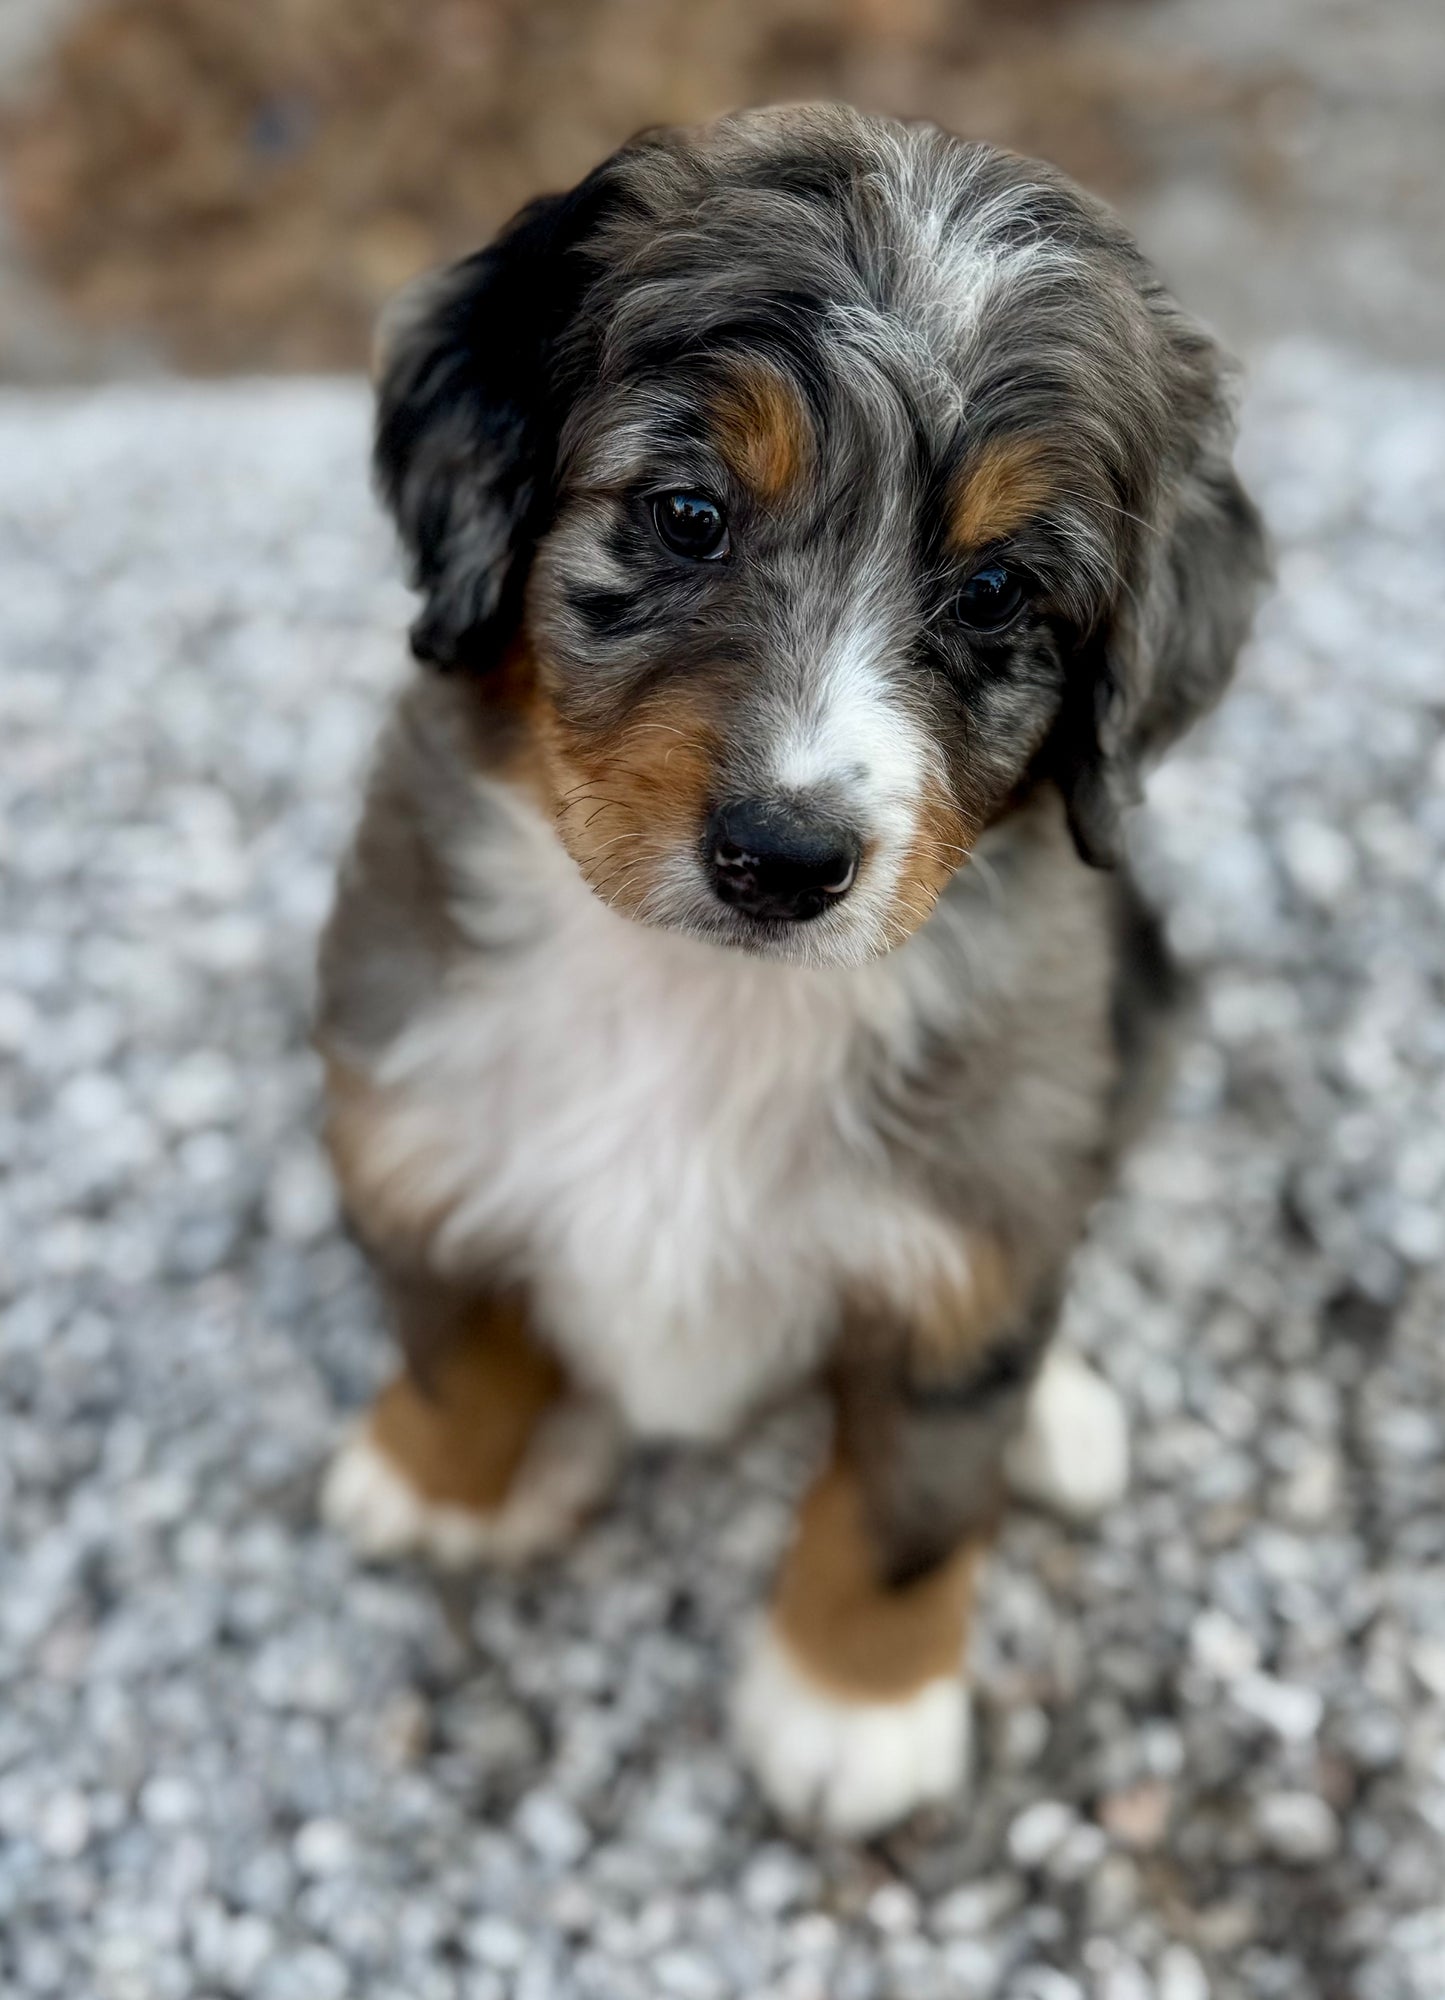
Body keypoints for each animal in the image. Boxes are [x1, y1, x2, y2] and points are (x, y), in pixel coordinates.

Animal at [318, 101, 1264, 1832]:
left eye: (995, 592)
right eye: (687, 515)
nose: (782, 858)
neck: (705, 997)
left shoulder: (967, 1231)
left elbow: (910, 1498)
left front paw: (851, 1710)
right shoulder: (406, 1121)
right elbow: (456, 1336)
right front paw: (442, 1481)